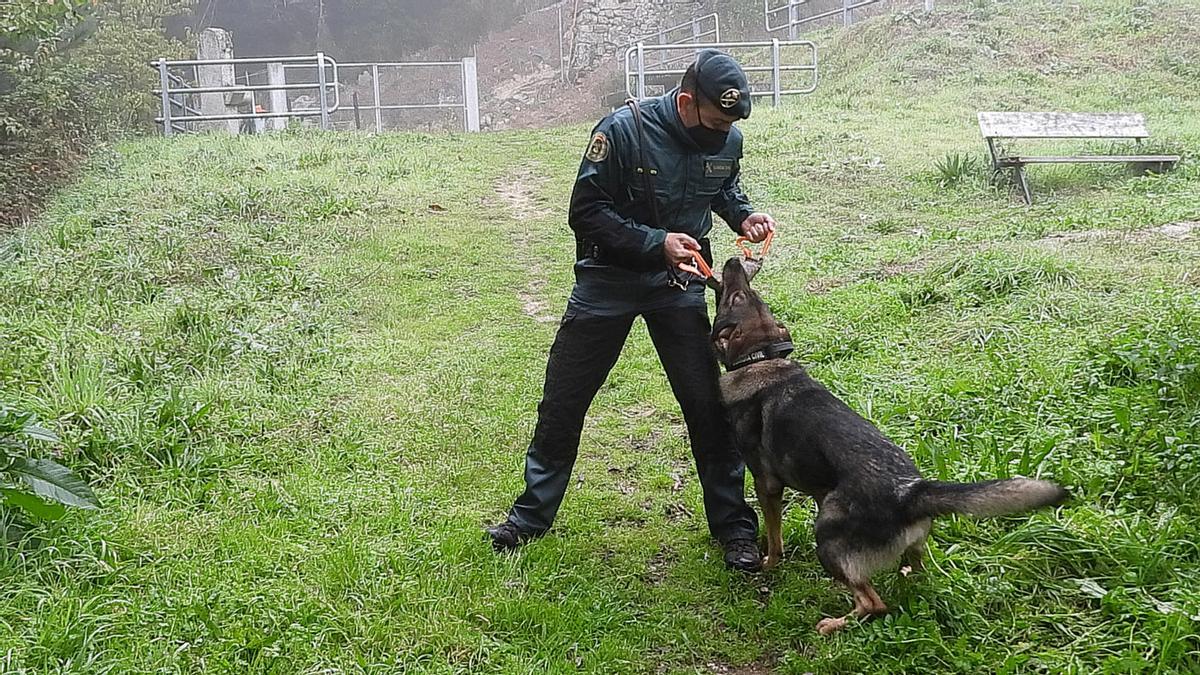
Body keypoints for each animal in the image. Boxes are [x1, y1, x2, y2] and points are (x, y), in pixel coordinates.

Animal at [705, 254, 1065, 634]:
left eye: (736, 298)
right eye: (748, 293)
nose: (734, 260)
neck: (761, 359)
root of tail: (910, 491)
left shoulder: (767, 485)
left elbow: (775, 538)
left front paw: (769, 563)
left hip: (826, 537)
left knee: (873, 603)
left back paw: (834, 624)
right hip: (907, 548)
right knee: (915, 575)